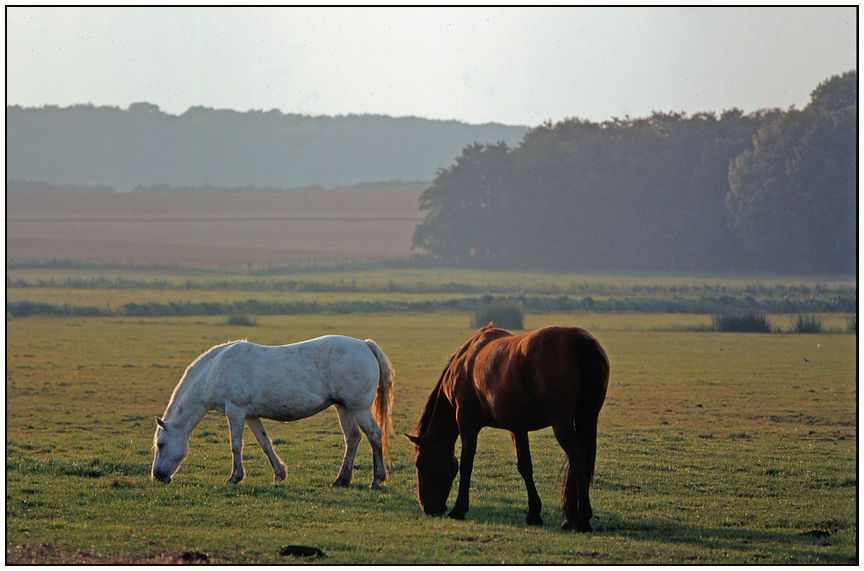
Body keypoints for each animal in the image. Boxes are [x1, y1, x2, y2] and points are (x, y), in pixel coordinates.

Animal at [152, 338, 394, 490]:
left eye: (161, 445)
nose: (157, 476)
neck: (214, 370)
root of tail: (365, 345)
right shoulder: (251, 416)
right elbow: (265, 444)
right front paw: (279, 474)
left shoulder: (235, 410)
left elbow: (236, 445)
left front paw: (235, 477)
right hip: (343, 407)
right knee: (352, 438)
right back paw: (341, 480)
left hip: (359, 408)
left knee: (374, 435)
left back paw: (377, 480)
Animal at [404, 324, 608, 536]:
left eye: (420, 463)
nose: (427, 507)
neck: (465, 361)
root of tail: (579, 339)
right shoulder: (517, 427)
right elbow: (525, 467)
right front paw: (533, 513)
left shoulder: (466, 421)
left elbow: (466, 463)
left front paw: (459, 509)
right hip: (586, 418)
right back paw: (570, 518)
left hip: (562, 423)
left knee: (577, 456)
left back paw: (582, 519)